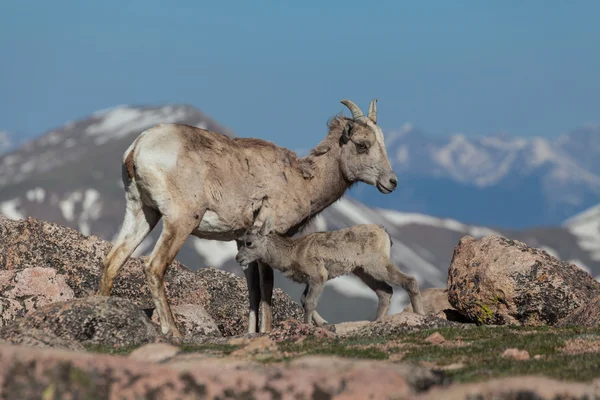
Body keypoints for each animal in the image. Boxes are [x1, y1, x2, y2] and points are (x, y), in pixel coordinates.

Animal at [98, 97, 398, 338]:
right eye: (362, 145)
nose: (391, 183)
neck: (302, 180)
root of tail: (137, 148)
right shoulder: (269, 237)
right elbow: (267, 287)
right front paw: (266, 330)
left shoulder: (243, 242)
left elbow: (252, 288)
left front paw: (251, 332)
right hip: (180, 220)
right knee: (154, 266)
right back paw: (174, 331)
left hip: (142, 212)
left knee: (113, 260)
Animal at [234, 217, 426, 324]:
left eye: (249, 243)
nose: (238, 258)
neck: (293, 253)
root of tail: (384, 233)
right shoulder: (310, 281)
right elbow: (303, 300)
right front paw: (323, 324)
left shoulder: (318, 276)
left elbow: (309, 302)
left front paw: (308, 326)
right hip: (363, 271)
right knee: (385, 292)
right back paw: (376, 322)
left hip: (377, 266)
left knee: (409, 280)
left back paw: (420, 314)